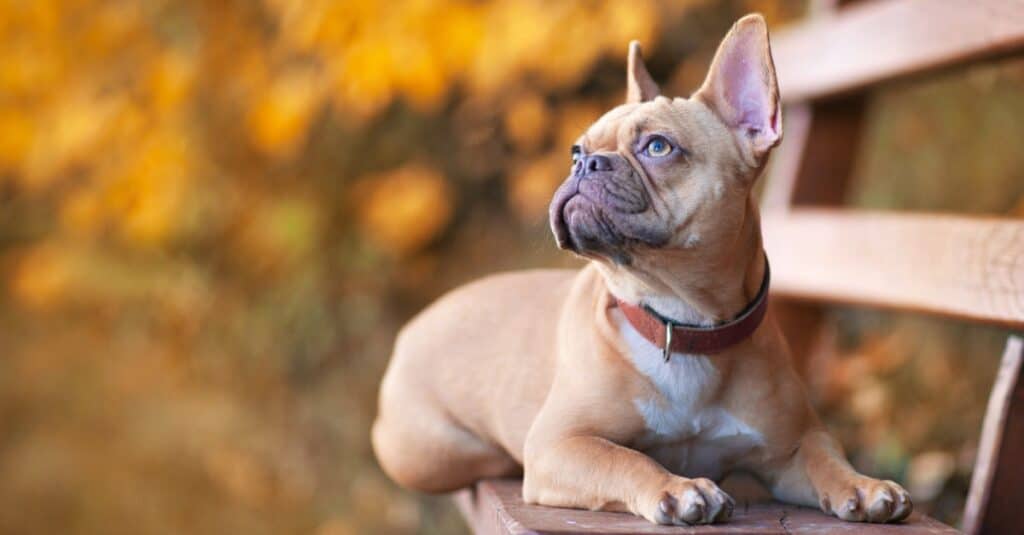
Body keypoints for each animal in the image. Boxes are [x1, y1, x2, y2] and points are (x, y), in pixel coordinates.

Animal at [374, 13, 913, 524]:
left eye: (658, 146)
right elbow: (625, 459)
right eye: (575, 150)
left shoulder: (793, 445)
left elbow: (826, 458)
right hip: (434, 452)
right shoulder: (560, 444)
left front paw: (864, 485)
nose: (587, 163)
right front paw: (679, 488)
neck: (682, 321)